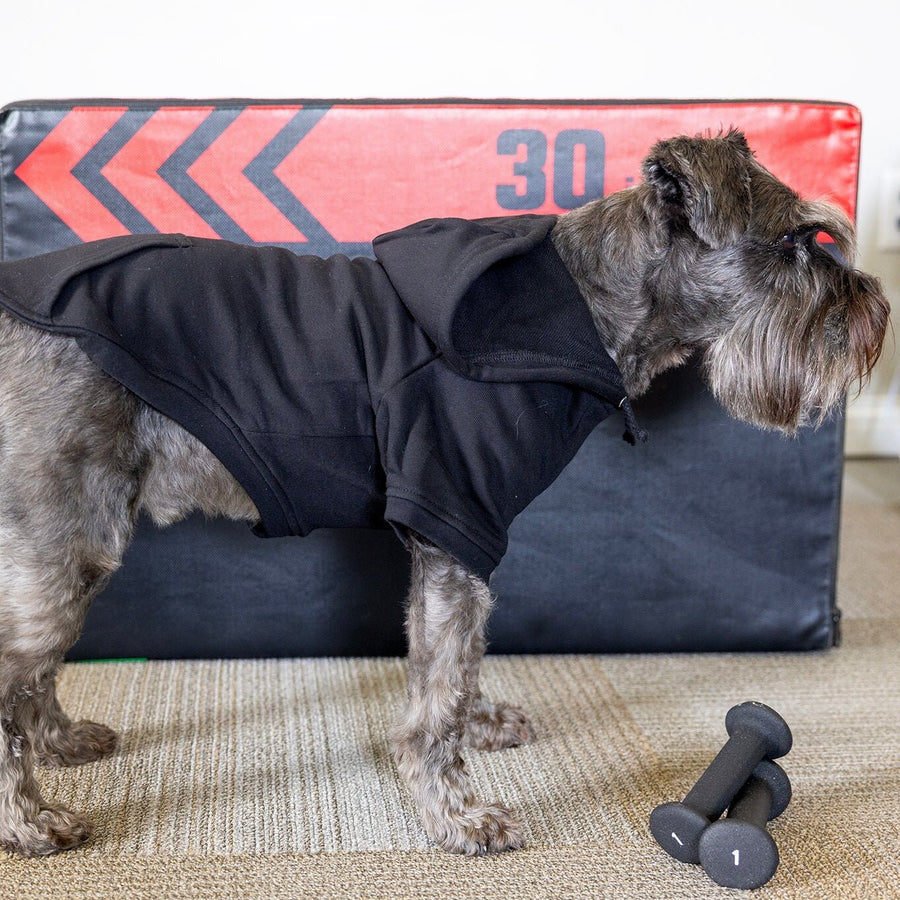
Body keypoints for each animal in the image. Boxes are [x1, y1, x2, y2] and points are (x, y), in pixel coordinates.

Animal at [0, 130, 888, 856]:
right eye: (793, 242)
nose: (875, 310)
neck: (585, 307)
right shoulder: (456, 529)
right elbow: (438, 700)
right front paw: (458, 818)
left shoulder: (449, 547)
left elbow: (452, 667)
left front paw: (481, 727)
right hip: (69, 538)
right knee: (14, 675)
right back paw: (31, 822)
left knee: (32, 671)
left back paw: (60, 742)